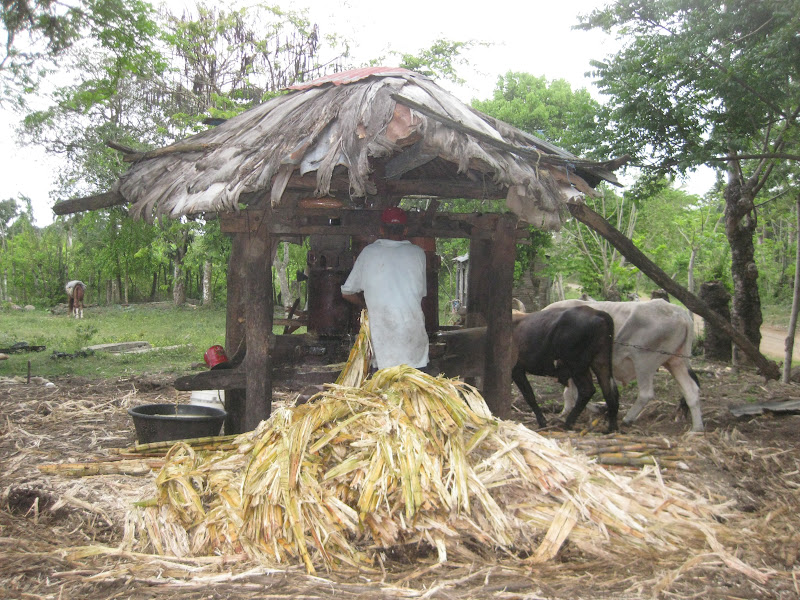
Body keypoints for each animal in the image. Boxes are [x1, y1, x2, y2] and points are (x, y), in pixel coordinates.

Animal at [545, 299, 703, 432]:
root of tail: (681, 313)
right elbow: (570, 392)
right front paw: (566, 411)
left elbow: (575, 392)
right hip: (675, 361)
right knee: (691, 391)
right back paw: (696, 428)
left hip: (644, 362)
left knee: (646, 393)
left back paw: (628, 418)